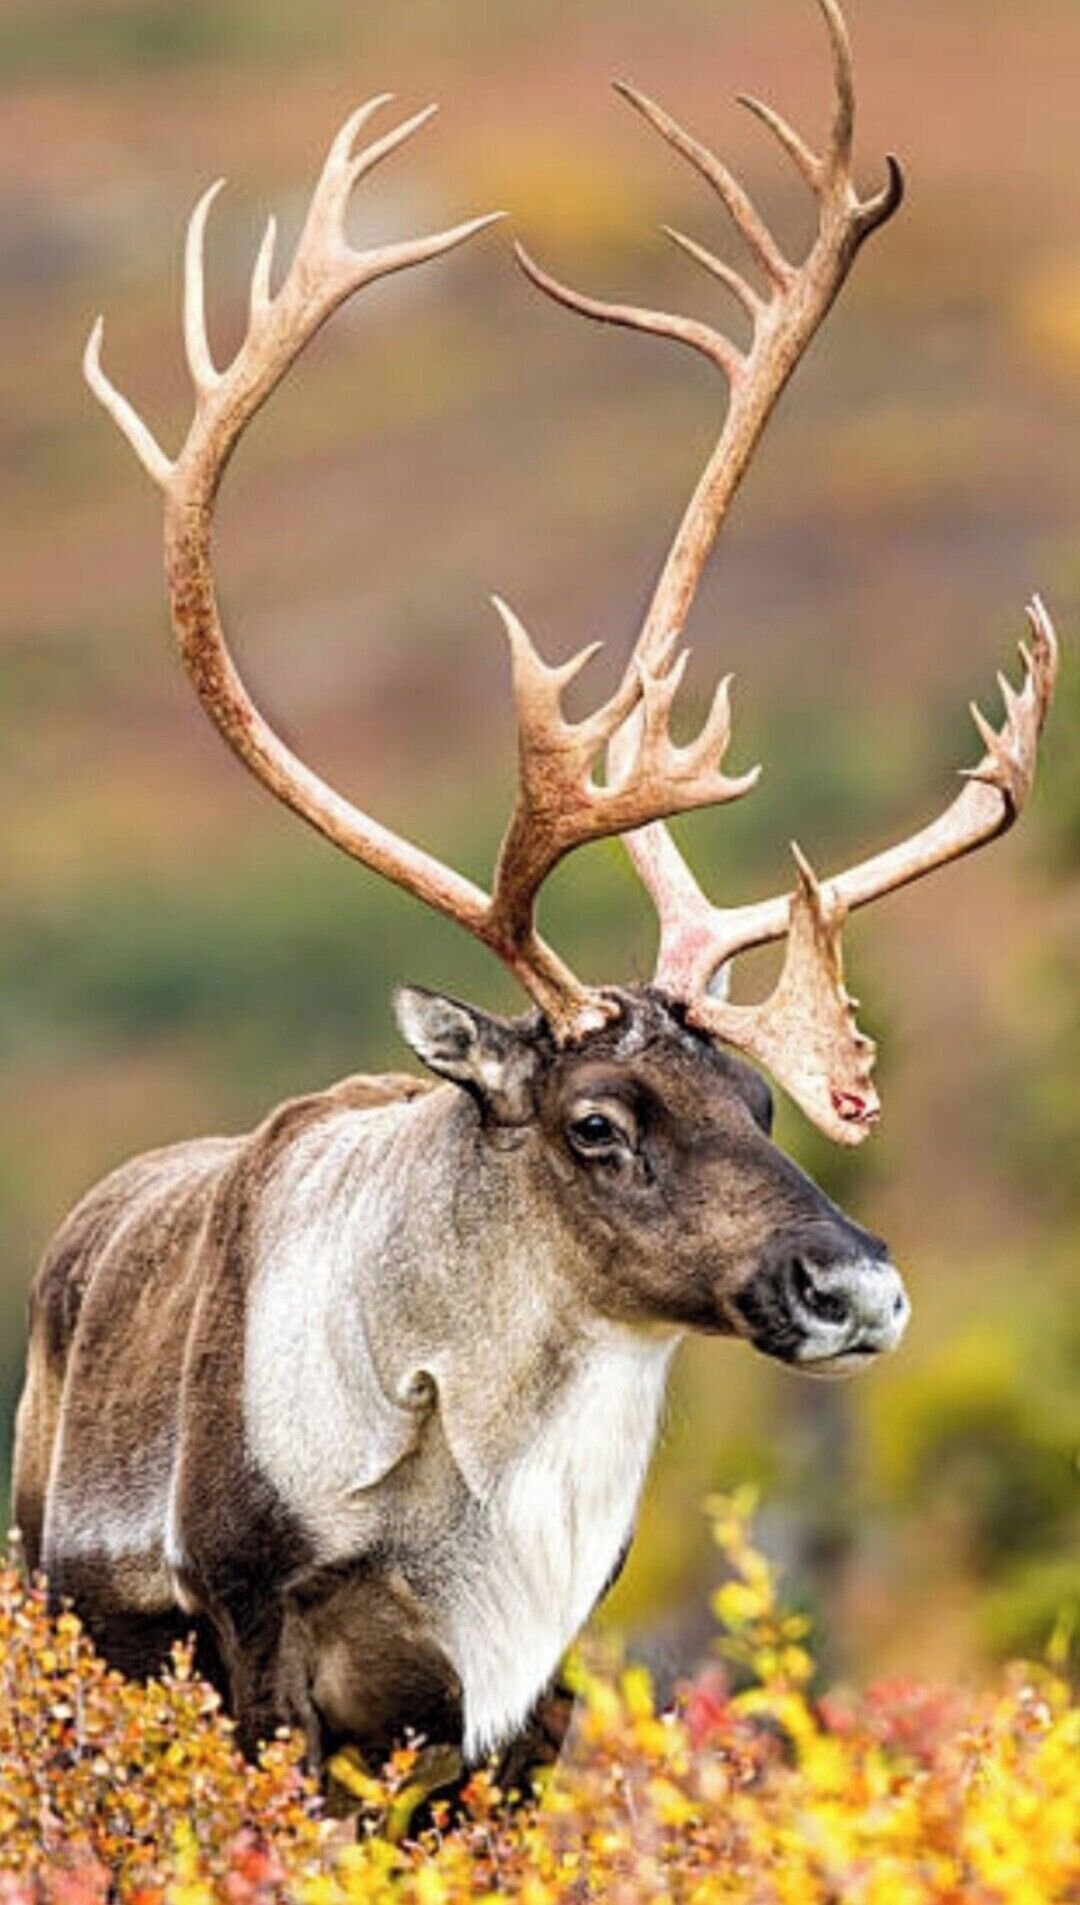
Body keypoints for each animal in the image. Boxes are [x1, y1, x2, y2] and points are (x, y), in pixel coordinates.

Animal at [13, 0, 1057, 1790]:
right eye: (597, 1122)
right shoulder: (261, 1660)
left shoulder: (533, 1704)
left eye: (761, 1106)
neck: (478, 1529)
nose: (858, 1287)